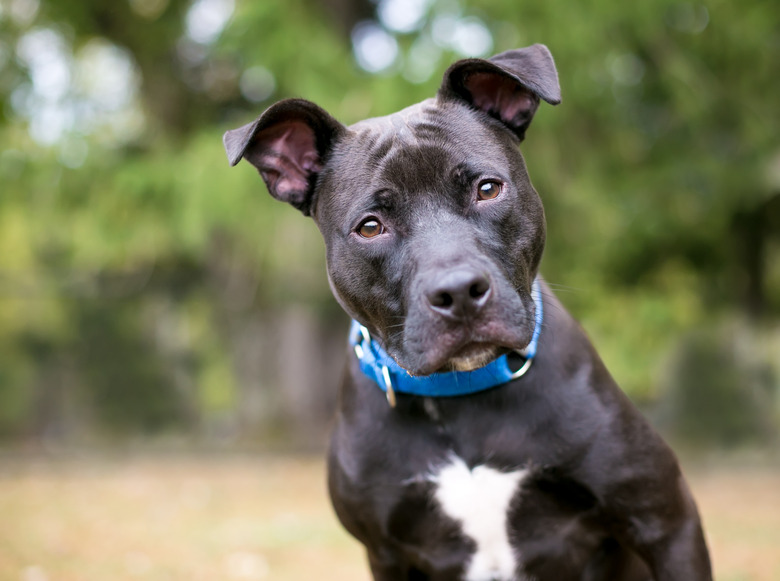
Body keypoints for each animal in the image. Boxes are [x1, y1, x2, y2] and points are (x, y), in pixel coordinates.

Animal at [221, 44, 712, 580]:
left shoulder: (665, 520)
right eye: (370, 227)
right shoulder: (386, 554)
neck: (459, 395)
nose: (458, 291)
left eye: (487, 189)